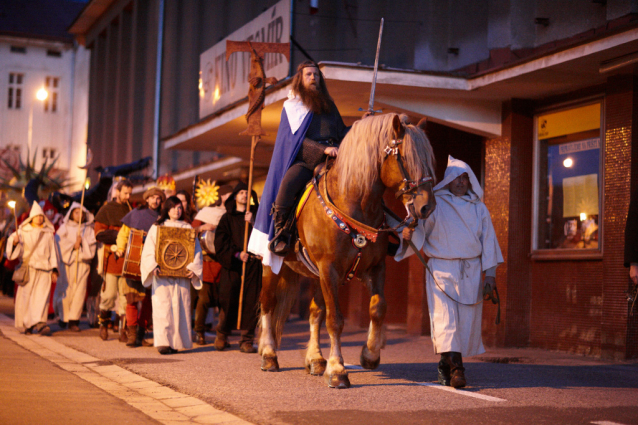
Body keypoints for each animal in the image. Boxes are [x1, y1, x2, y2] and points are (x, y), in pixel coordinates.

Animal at [258, 112, 438, 388]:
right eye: (406, 157)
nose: (427, 207)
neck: (353, 202)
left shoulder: (373, 268)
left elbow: (378, 308)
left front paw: (370, 355)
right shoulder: (330, 269)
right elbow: (335, 320)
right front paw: (338, 369)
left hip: (315, 275)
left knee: (314, 312)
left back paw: (315, 359)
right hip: (272, 266)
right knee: (268, 304)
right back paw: (269, 355)